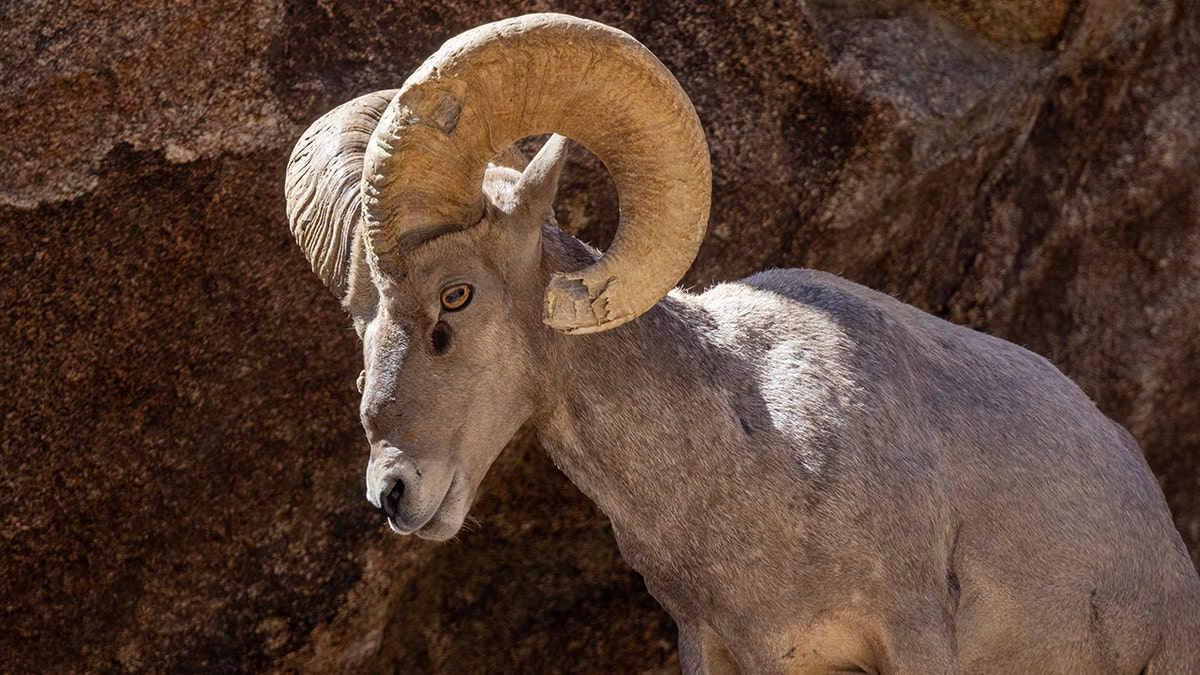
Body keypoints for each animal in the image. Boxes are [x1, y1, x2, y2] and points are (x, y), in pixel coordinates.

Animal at [288, 11, 1200, 672]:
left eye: (456, 294)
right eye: (360, 316)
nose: (394, 491)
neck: (760, 454)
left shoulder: (911, 635)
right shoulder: (720, 648)